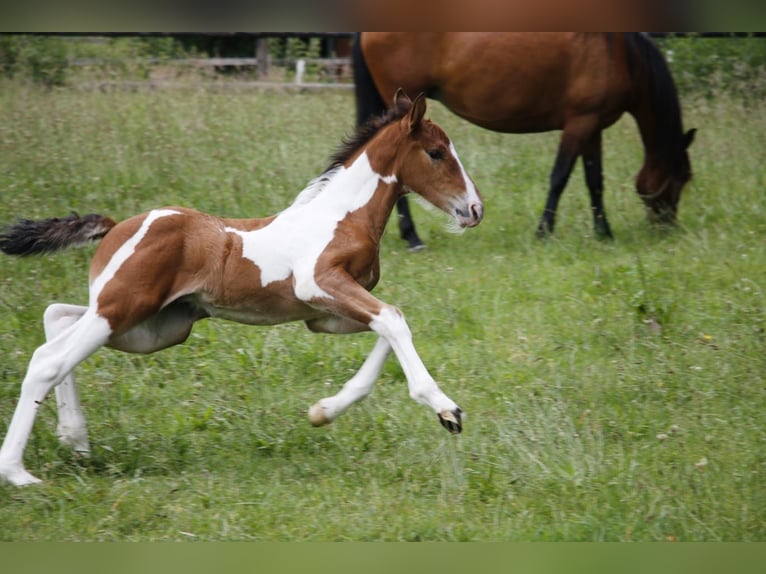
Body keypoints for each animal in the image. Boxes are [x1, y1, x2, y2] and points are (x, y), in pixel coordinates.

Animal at [0, 90, 484, 486]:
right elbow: (394, 319)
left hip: (152, 326)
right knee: (48, 359)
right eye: (437, 153)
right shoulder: (319, 284)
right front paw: (446, 410)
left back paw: (75, 438)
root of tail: (118, 227)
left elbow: (389, 323)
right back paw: (18, 473)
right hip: (122, 310)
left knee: (57, 318)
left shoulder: (325, 317)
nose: (475, 209)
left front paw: (324, 411)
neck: (343, 217)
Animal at [353, 32, 696, 249]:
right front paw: (544, 232)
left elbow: (594, 181)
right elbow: (560, 177)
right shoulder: (579, 123)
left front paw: (604, 232)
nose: (668, 228)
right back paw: (413, 238)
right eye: (682, 178)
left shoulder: (592, 126)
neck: (620, 53)